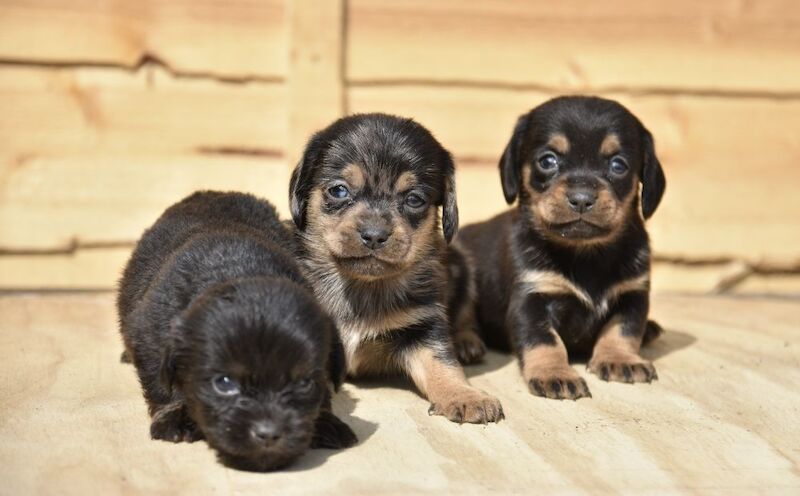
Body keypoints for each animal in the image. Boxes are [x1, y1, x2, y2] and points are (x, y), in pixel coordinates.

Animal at [117, 192, 354, 470]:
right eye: (225, 383)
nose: (269, 434)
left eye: (304, 383)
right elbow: (161, 384)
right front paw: (174, 416)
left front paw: (325, 422)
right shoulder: (150, 336)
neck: (237, 271)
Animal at [288, 114, 504, 424]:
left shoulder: (423, 325)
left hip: (463, 267)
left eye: (414, 199)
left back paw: (466, 343)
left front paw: (466, 396)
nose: (374, 235)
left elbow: (442, 363)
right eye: (339, 190)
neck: (362, 287)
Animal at [454, 96, 664, 400]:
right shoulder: (532, 298)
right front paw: (555, 374)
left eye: (618, 165)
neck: (585, 253)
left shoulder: (632, 294)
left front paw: (619, 359)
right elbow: (544, 340)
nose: (582, 199)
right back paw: (464, 342)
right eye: (547, 160)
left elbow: (623, 330)